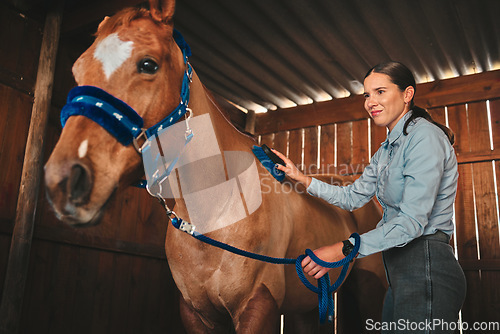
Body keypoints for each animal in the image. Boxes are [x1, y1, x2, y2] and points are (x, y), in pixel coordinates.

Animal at [44, 1, 386, 332]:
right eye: (77, 69)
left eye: (148, 64)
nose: (64, 181)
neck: (218, 210)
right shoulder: (195, 313)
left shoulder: (258, 306)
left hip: (370, 288)